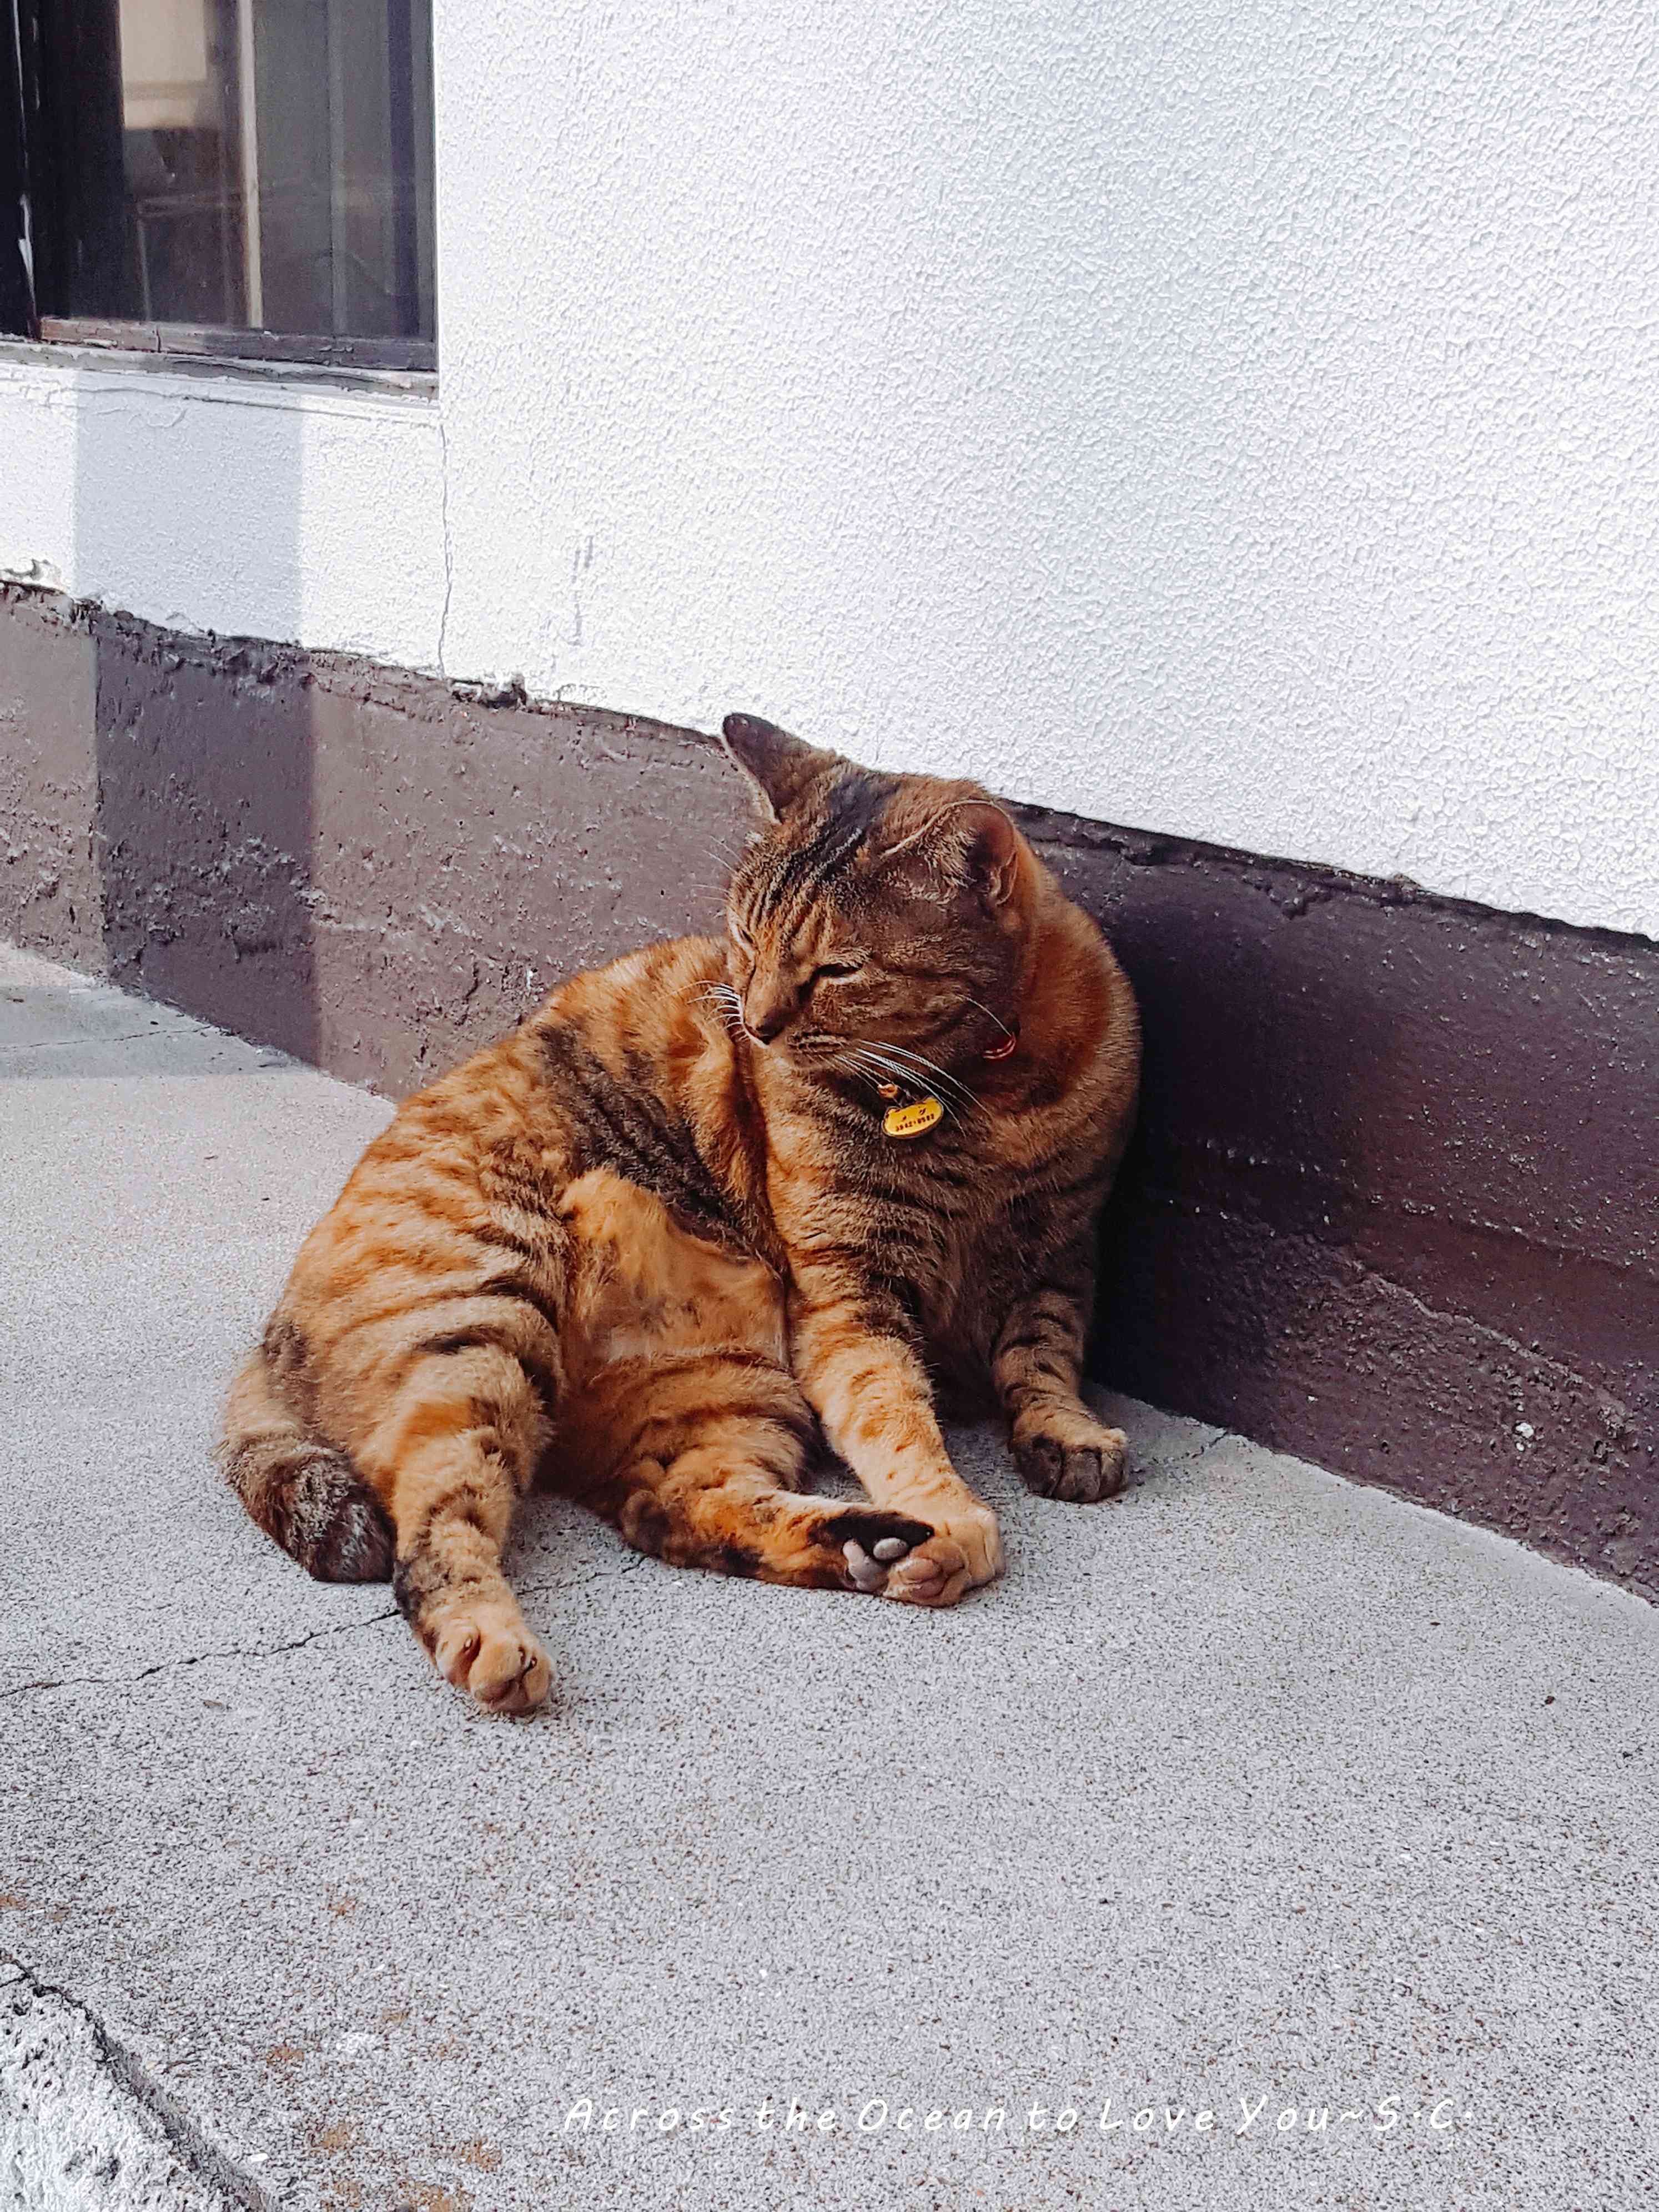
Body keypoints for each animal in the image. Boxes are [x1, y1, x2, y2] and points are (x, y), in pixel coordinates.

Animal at [217, 714, 1141, 1712]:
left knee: (671, 1507)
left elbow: (1042, 1358)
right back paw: (495, 1643)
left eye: (838, 969)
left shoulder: (1060, 1251)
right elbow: (896, 1410)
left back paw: (874, 1542)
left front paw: (1065, 1433)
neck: (979, 1097)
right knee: (432, 1528)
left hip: (726, 1382)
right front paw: (953, 1510)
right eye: (744, 937)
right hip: (486, 1313)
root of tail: (271, 1330)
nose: (759, 1026)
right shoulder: (847, 1290)